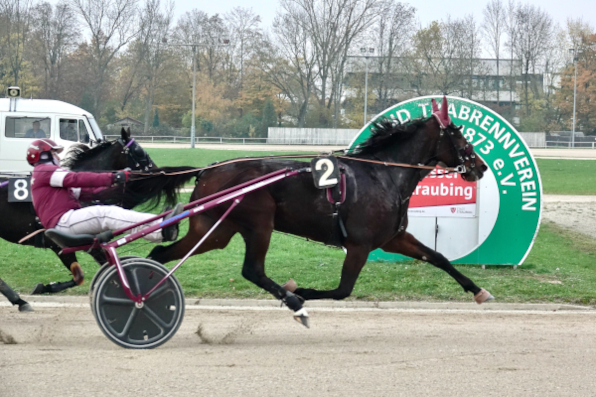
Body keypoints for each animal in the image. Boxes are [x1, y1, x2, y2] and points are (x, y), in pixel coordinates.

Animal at [141, 97, 494, 324]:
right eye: (460, 135)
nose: (481, 166)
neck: (383, 175)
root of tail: (209, 169)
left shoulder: (393, 238)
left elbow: (438, 257)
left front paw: (478, 290)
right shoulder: (359, 244)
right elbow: (343, 290)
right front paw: (301, 291)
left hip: (215, 230)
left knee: (161, 253)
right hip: (259, 221)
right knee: (252, 270)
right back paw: (295, 303)